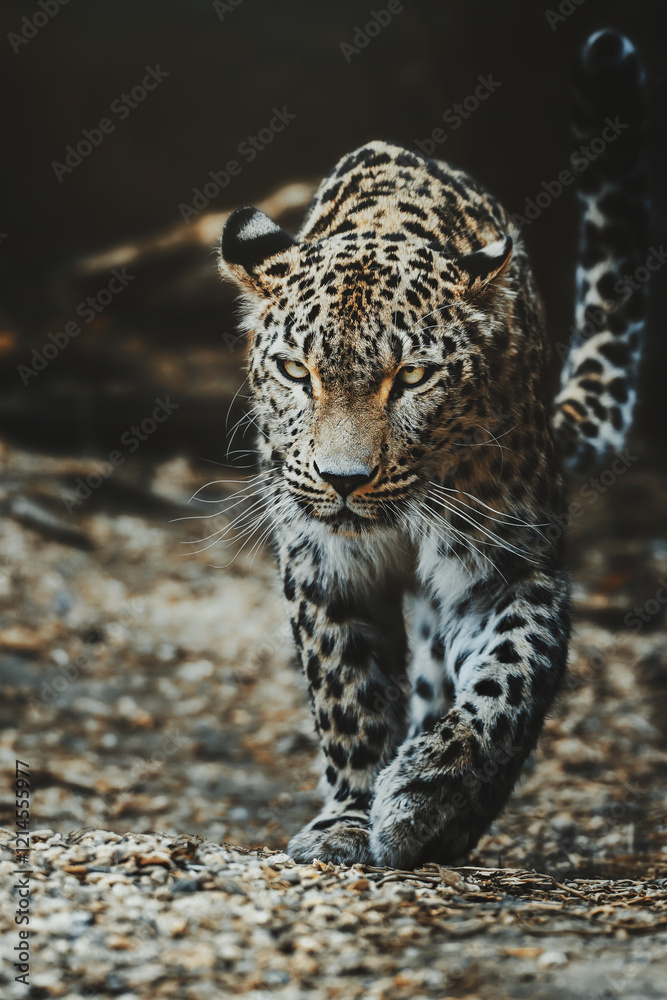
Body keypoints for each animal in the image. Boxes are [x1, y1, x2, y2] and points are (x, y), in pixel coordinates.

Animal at [216, 29, 649, 868]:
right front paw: (350, 816)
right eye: (295, 372)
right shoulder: (324, 564)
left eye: (411, 377)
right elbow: (347, 693)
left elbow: (508, 679)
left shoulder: (509, 566)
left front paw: (434, 791)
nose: (342, 480)